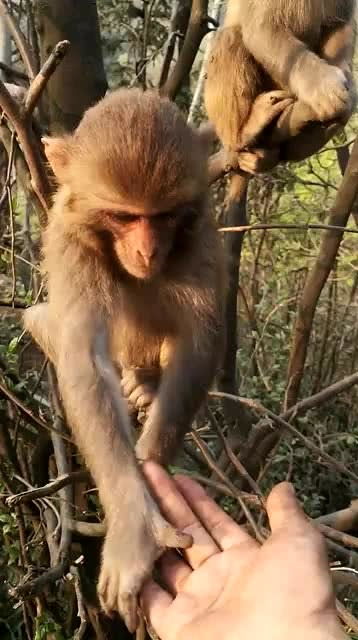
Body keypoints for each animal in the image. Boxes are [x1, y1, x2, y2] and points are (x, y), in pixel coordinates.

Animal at [24, 87, 227, 632]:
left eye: (161, 216)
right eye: (123, 215)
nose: (148, 251)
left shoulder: (199, 234)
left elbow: (199, 341)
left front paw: (151, 466)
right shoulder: (69, 239)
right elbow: (86, 356)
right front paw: (136, 523)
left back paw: (144, 382)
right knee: (41, 320)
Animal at [206, 0, 356, 168]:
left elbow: (338, 24)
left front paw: (348, 86)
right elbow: (264, 28)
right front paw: (323, 88)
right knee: (230, 37)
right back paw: (242, 134)